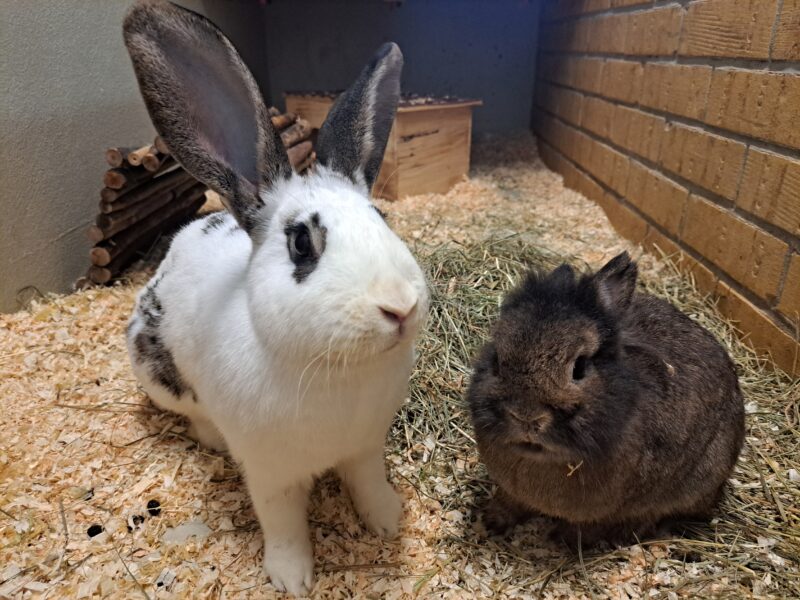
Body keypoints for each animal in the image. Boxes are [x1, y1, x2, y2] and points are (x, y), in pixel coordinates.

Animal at [122, 1, 428, 595]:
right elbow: (283, 522)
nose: (400, 307)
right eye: (302, 242)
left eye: (381, 218)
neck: (341, 373)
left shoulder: (365, 449)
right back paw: (211, 439)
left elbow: (369, 485)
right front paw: (291, 578)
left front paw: (388, 520)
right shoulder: (271, 473)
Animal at [468, 252, 744, 546]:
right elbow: (509, 503)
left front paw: (563, 541)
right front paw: (490, 521)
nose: (526, 416)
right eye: (497, 360)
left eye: (579, 367)